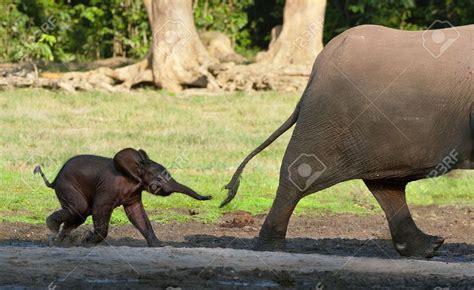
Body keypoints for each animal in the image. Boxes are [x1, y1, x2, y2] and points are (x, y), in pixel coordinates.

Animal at [37, 148, 213, 246]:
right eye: (159, 179)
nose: (210, 196)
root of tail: (54, 181)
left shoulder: (134, 193)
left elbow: (137, 215)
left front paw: (159, 246)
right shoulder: (107, 188)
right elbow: (100, 209)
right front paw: (87, 242)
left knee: (80, 214)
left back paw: (58, 242)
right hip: (67, 186)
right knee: (80, 208)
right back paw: (53, 229)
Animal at [220, 23, 472, 258]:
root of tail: (315, 72)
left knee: (386, 184)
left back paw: (429, 247)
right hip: (328, 116)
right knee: (300, 174)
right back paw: (271, 250)